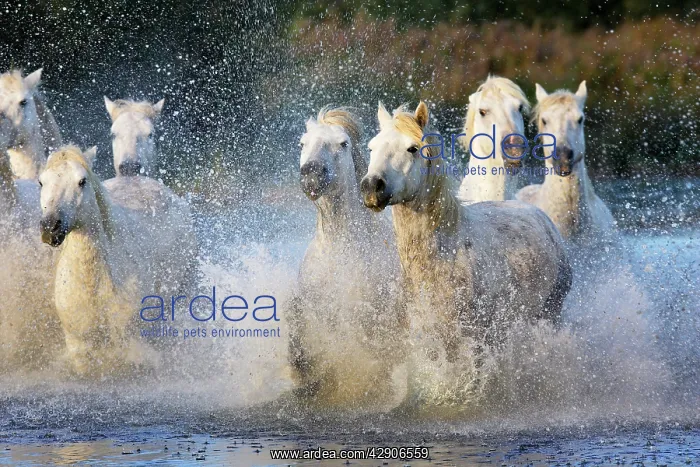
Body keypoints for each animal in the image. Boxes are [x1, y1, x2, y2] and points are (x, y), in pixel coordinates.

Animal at [39, 146, 195, 376]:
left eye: (82, 181)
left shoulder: (134, 345)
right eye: (41, 182)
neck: (94, 286)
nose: (50, 228)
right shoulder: (79, 348)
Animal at [360, 101, 571, 370]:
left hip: (550, 313)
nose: (371, 187)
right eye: (372, 147)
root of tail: (540, 216)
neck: (441, 257)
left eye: (413, 148)